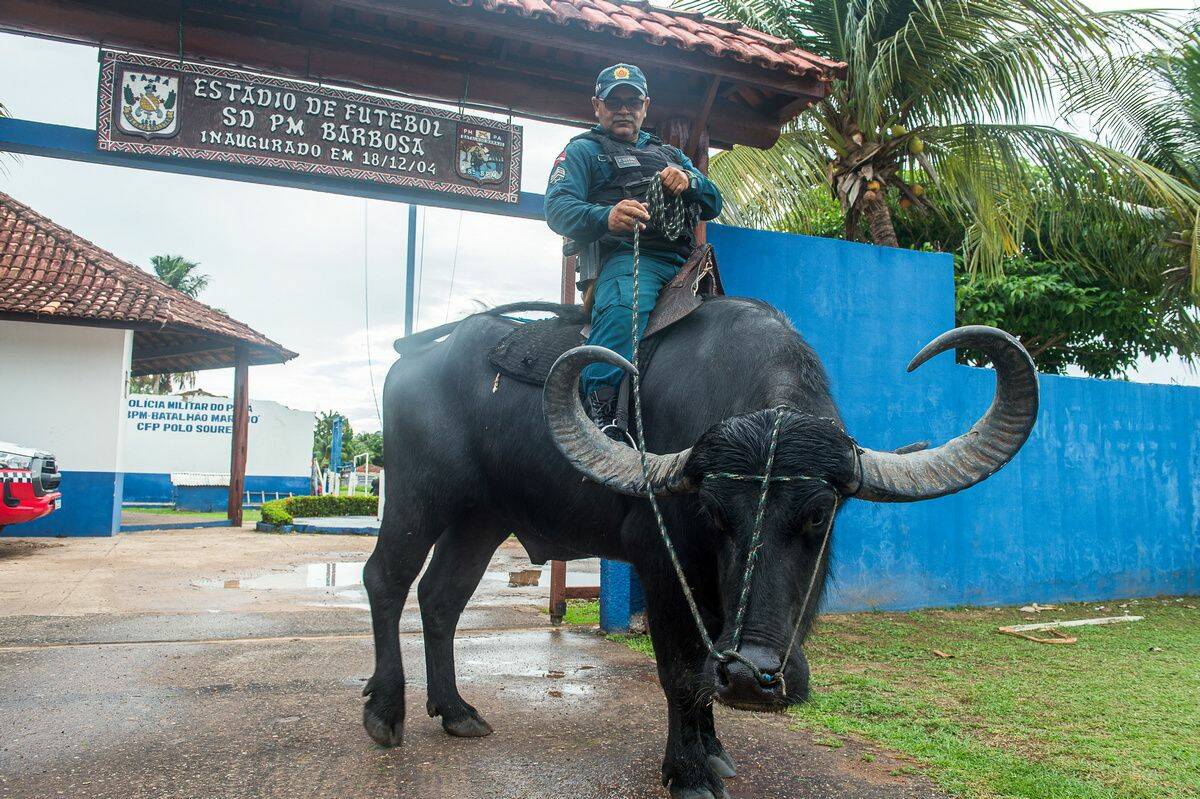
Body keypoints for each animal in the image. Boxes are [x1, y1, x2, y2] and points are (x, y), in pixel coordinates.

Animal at [360, 297, 1036, 796]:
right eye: (713, 512)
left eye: (820, 514)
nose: (755, 677)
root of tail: (414, 364)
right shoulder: (662, 566)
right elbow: (683, 671)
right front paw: (687, 772)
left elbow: (709, 658)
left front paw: (713, 750)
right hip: (419, 498)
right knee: (386, 579)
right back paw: (386, 713)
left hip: (481, 518)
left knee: (441, 598)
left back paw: (456, 711)